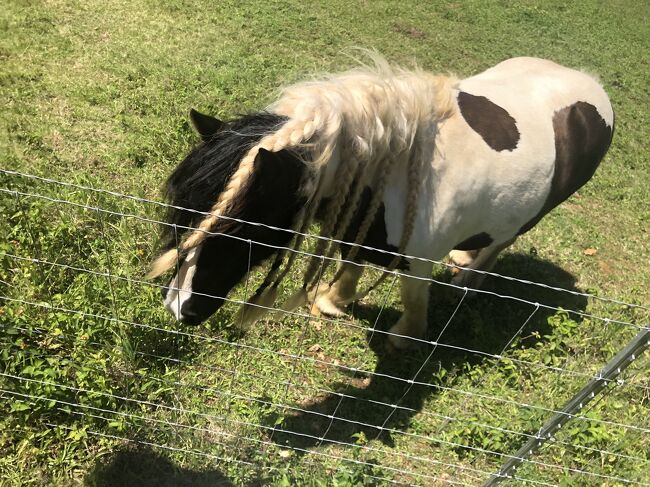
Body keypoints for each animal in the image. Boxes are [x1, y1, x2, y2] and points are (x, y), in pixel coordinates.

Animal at [148, 56, 614, 350]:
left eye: (242, 229)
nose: (178, 308)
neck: (397, 174)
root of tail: (589, 83)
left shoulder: (419, 260)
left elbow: (413, 296)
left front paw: (404, 338)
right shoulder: (355, 225)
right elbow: (351, 261)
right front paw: (333, 302)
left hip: (536, 213)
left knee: (503, 242)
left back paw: (470, 278)